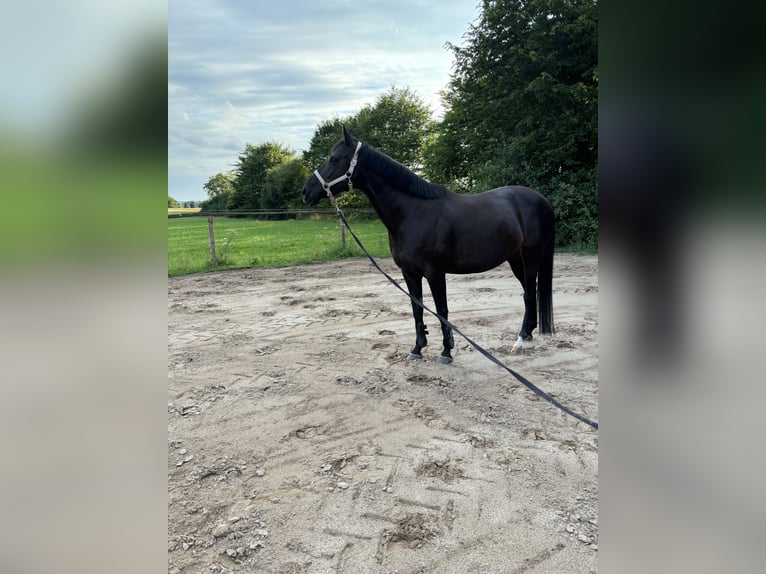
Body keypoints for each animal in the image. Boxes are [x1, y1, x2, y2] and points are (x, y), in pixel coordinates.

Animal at [302, 129, 560, 364]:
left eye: (334, 159)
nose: (306, 192)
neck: (413, 212)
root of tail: (543, 201)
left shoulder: (435, 272)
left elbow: (442, 310)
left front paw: (446, 352)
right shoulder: (409, 273)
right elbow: (417, 308)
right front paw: (417, 349)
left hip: (531, 256)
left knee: (529, 293)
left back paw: (519, 341)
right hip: (515, 258)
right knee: (529, 292)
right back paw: (528, 334)